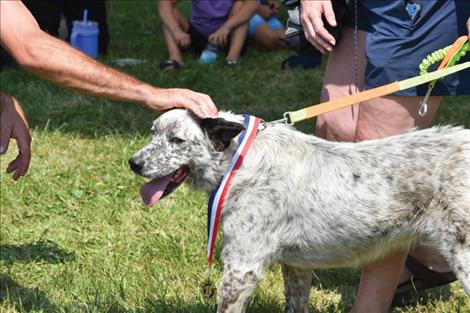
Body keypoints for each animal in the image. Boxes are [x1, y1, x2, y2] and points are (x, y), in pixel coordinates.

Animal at [129, 108, 470, 310]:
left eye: (177, 140)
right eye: (153, 132)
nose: (133, 163)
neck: (239, 161)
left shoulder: (241, 269)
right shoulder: (296, 267)